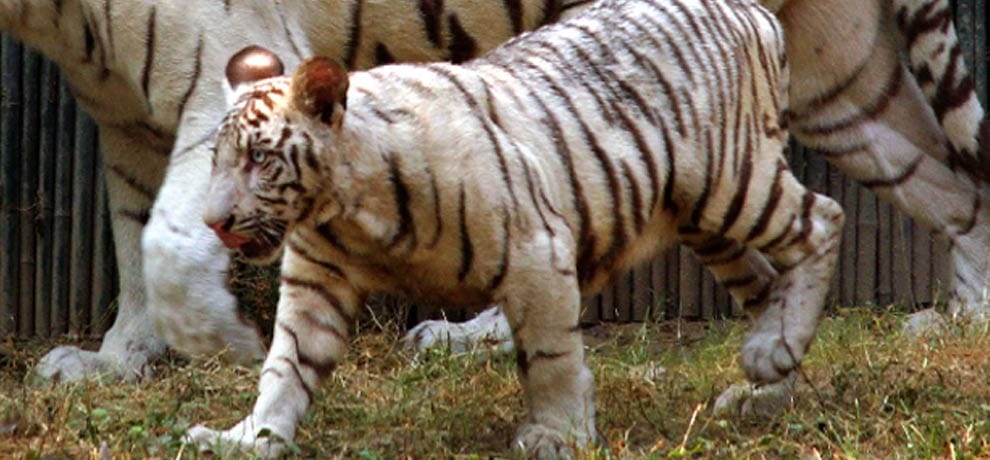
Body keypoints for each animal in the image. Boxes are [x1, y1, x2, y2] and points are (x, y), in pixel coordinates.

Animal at [0, 0, 571, 384]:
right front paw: (117, 360)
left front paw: (227, 339)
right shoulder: (127, 123)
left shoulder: (221, 74)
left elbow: (170, 242)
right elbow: (135, 236)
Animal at [183, 0, 843, 455]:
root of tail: (749, 9)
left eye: (259, 159)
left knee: (823, 220)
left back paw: (772, 354)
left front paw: (558, 434)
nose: (215, 222)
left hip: (732, 183)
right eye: (218, 159)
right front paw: (248, 437)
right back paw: (766, 378)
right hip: (707, 222)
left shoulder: (537, 254)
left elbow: (551, 358)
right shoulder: (316, 280)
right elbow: (286, 368)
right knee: (768, 285)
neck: (346, 213)